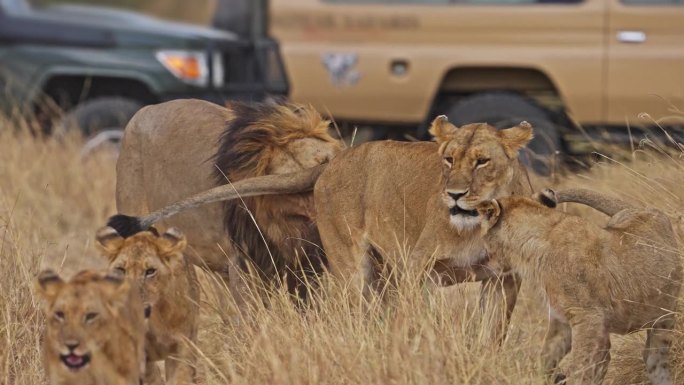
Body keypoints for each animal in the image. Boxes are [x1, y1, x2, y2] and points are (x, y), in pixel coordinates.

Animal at [93, 225, 198, 384]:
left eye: (150, 271)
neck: (155, 318)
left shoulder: (184, 343)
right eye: (121, 269)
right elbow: (152, 377)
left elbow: (181, 375)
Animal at [478, 189, 680, 384]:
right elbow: (546, 358)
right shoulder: (562, 320)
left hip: (664, 316)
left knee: (654, 358)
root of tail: (642, 208)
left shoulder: (589, 318)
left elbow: (580, 367)